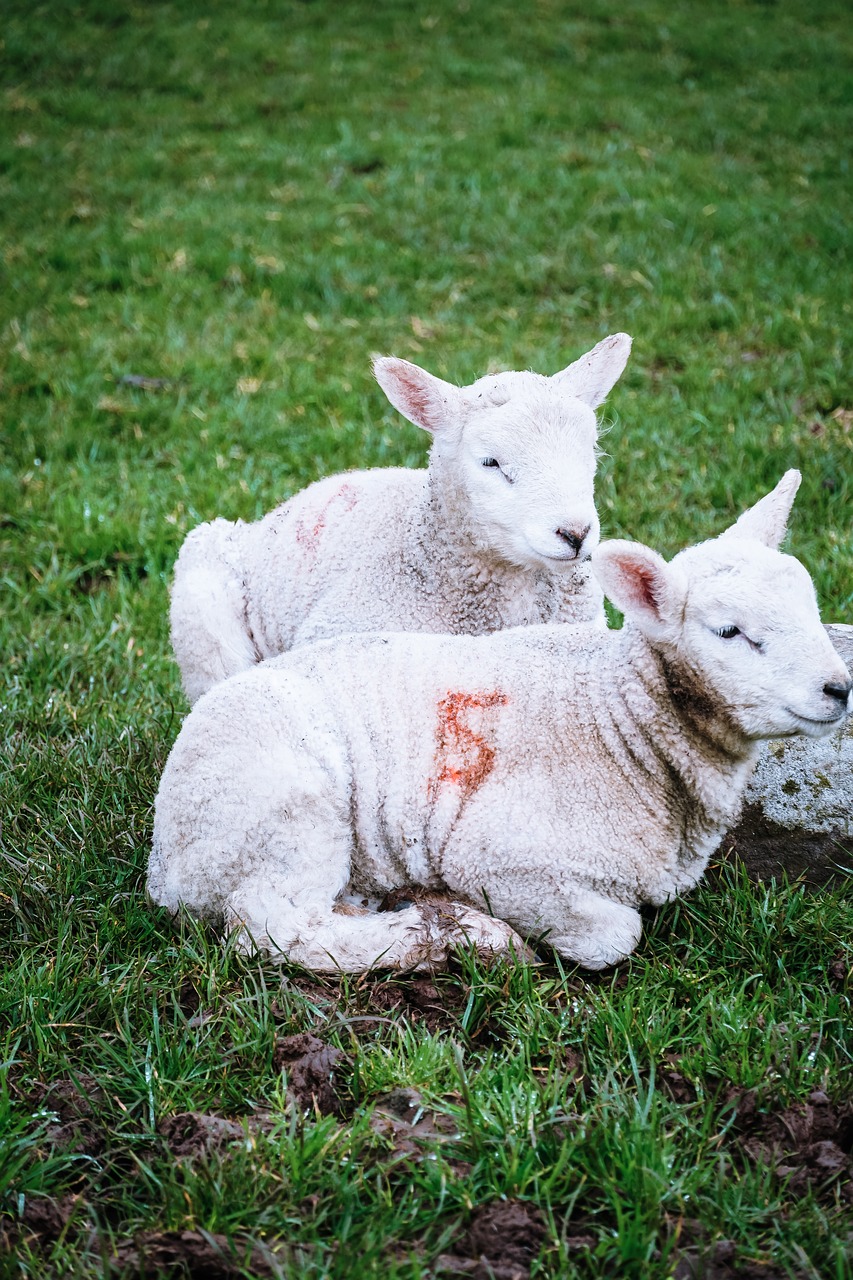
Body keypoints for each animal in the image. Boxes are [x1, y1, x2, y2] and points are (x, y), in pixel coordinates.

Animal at [146, 471, 845, 967]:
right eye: (729, 632)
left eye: (812, 607)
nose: (839, 688)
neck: (617, 721)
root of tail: (165, 869)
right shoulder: (504, 863)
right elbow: (616, 933)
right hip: (284, 805)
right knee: (275, 929)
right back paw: (441, 934)